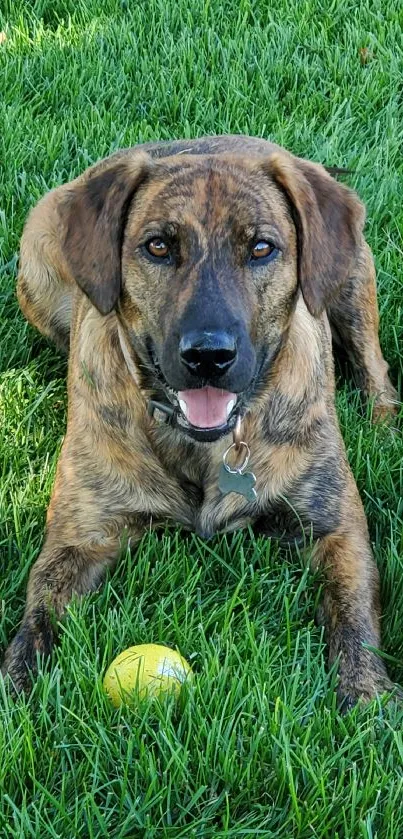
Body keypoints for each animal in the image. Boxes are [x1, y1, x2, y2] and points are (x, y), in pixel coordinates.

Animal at [2, 133, 400, 708]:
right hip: (36, 265)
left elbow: (354, 615)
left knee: (375, 366)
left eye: (261, 248)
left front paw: (366, 693)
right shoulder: (80, 537)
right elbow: (38, 613)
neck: (205, 446)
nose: (208, 355)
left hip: (349, 278)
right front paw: (16, 686)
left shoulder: (334, 526)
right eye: (158, 247)